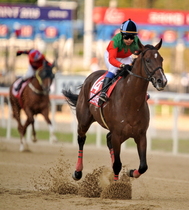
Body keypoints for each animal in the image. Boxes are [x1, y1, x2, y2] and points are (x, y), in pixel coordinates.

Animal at [62, 39, 167, 180]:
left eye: (161, 59)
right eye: (148, 60)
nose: (162, 81)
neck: (131, 101)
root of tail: (89, 77)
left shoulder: (140, 134)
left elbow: (143, 166)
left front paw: (130, 172)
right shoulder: (117, 135)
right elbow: (117, 165)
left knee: (108, 139)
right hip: (84, 121)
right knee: (81, 139)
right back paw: (77, 172)